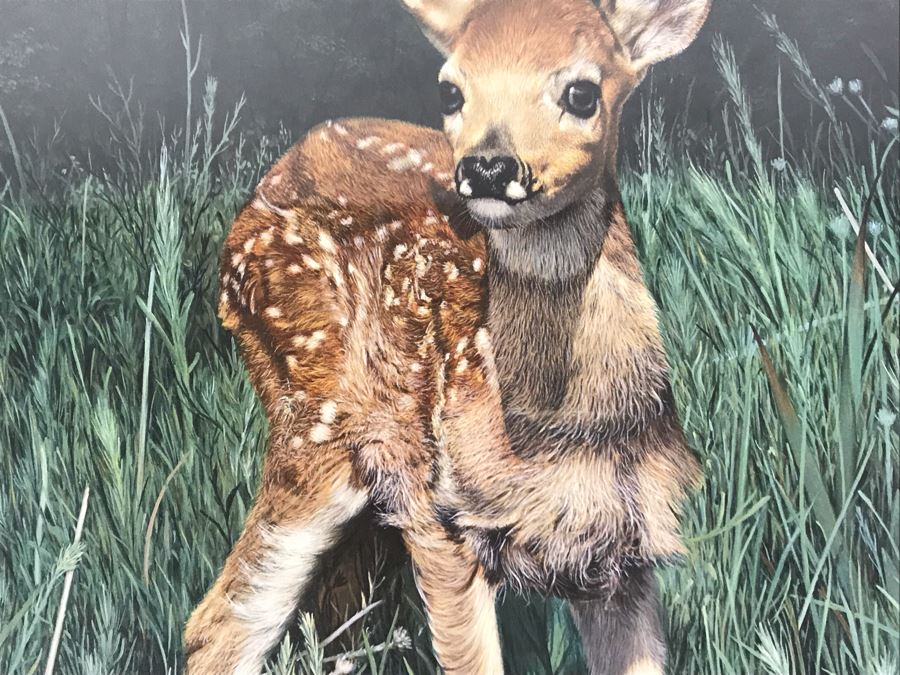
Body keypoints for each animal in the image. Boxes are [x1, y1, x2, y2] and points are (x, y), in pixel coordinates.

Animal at [184, 0, 710, 673]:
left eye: (582, 92)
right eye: (450, 90)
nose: (487, 166)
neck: (559, 431)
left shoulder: (621, 553)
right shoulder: (441, 517)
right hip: (313, 431)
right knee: (218, 625)